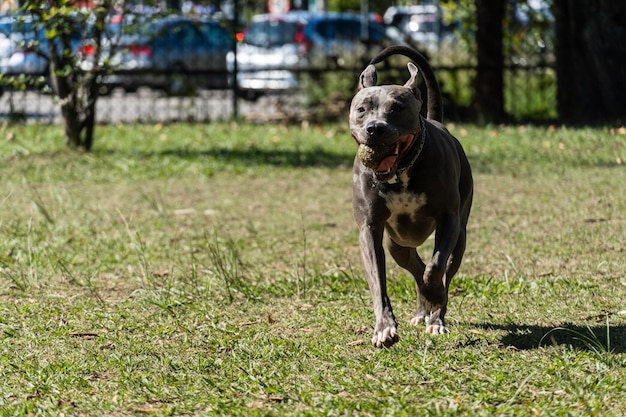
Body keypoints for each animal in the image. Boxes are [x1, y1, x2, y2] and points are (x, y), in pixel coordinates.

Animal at [348, 45, 470, 346]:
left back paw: (435, 316)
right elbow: (378, 280)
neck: (400, 171)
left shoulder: (448, 220)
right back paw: (421, 311)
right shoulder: (369, 229)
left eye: (397, 108)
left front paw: (435, 297)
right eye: (362, 109)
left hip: (460, 238)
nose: (375, 128)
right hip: (398, 244)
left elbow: (436, 266)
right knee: (415, 266)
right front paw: (384, 327)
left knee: (443, 269)